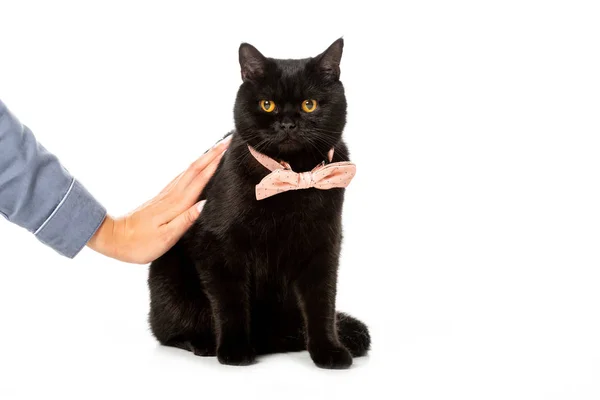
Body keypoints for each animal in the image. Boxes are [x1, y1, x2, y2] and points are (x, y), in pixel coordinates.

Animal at [148, 38, 368, 368]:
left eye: (309, 104)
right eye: (267, 105)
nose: (288, 124)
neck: (294, 176)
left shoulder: (324, 245)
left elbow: (322, 303)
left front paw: (329, 351)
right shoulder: (219, 246)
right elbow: (230, 302)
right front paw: (235, 350)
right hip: (170, 279)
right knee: (169, 330)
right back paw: (205, 343)